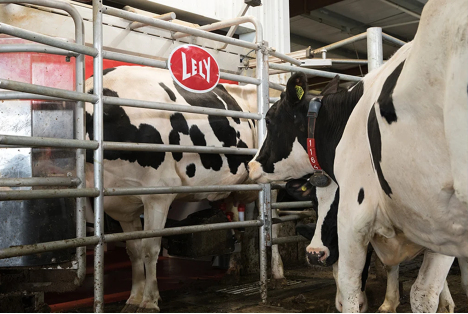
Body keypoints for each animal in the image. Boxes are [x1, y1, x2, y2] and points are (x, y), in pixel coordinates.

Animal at [83, 66, 286, 312]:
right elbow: (134, 250)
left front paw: (149, 301)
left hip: (271, 182)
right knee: (244, 225)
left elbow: (150, 248)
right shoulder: (123, 203)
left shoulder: (158, 195)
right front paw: (134, 298)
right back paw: (236, 268)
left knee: (273, 225)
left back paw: (277, 273)